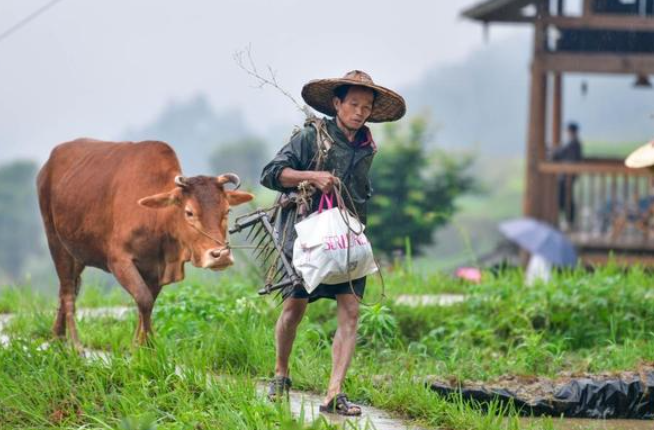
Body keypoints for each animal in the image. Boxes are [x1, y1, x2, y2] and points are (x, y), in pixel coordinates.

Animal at [37, 139, 255, 348]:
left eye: (227, 210)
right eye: (189, 212)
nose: (221, 255)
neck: (156, 220)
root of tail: (47, 165)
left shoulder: (157, 268)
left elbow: (147, 304)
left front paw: (141, 345)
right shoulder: (118, 261)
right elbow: (144, 300)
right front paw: (146, 346)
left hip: (77, 253)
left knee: (68, 288)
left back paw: (57, 337)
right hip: (55, 241)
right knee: (68, 293)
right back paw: (75, 346)